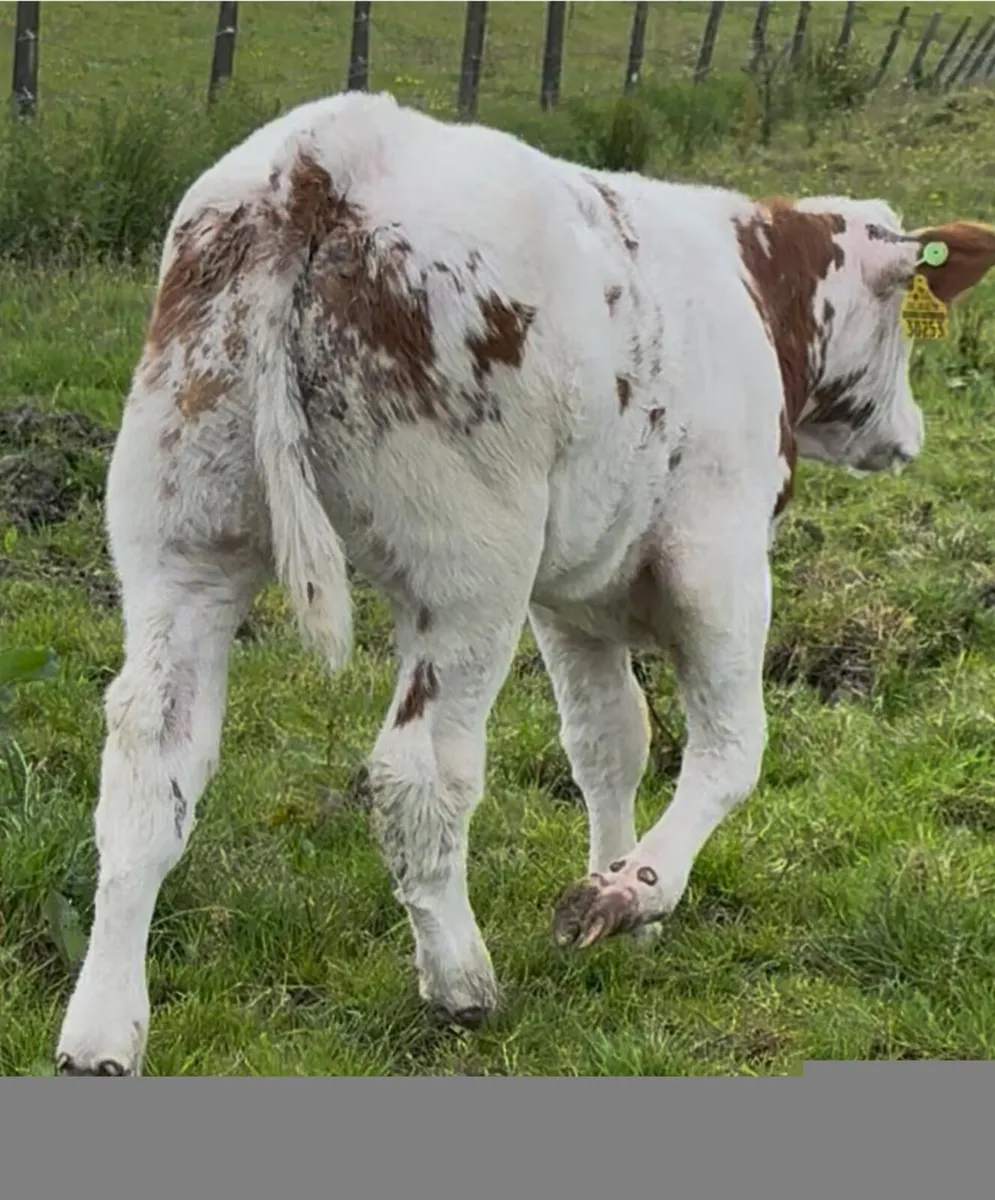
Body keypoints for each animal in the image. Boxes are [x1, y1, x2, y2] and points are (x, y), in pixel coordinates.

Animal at [54, 90, 995, 1075]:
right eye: (904, 325)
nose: (907, 434)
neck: (755, 284)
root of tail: (325, 152)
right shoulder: (720, 559)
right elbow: (731, 750)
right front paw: (632, 892)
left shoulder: (575, 593)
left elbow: (608, 740)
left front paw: (619, 897)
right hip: (468, 568)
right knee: (419, 769)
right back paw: (460, 983)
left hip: (182, 535)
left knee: (152, 755)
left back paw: (101, 1031)